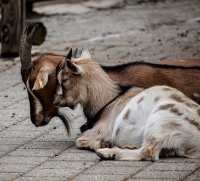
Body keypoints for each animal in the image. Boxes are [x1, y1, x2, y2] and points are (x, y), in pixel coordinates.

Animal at [53, 55, 200, 160]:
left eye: (64, 80)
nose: (54, 100)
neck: (109, 100)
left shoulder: (101, 130)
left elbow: (79, 140)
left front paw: (103, 144)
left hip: (161, 121)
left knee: (148, 152)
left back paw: (107, 152)